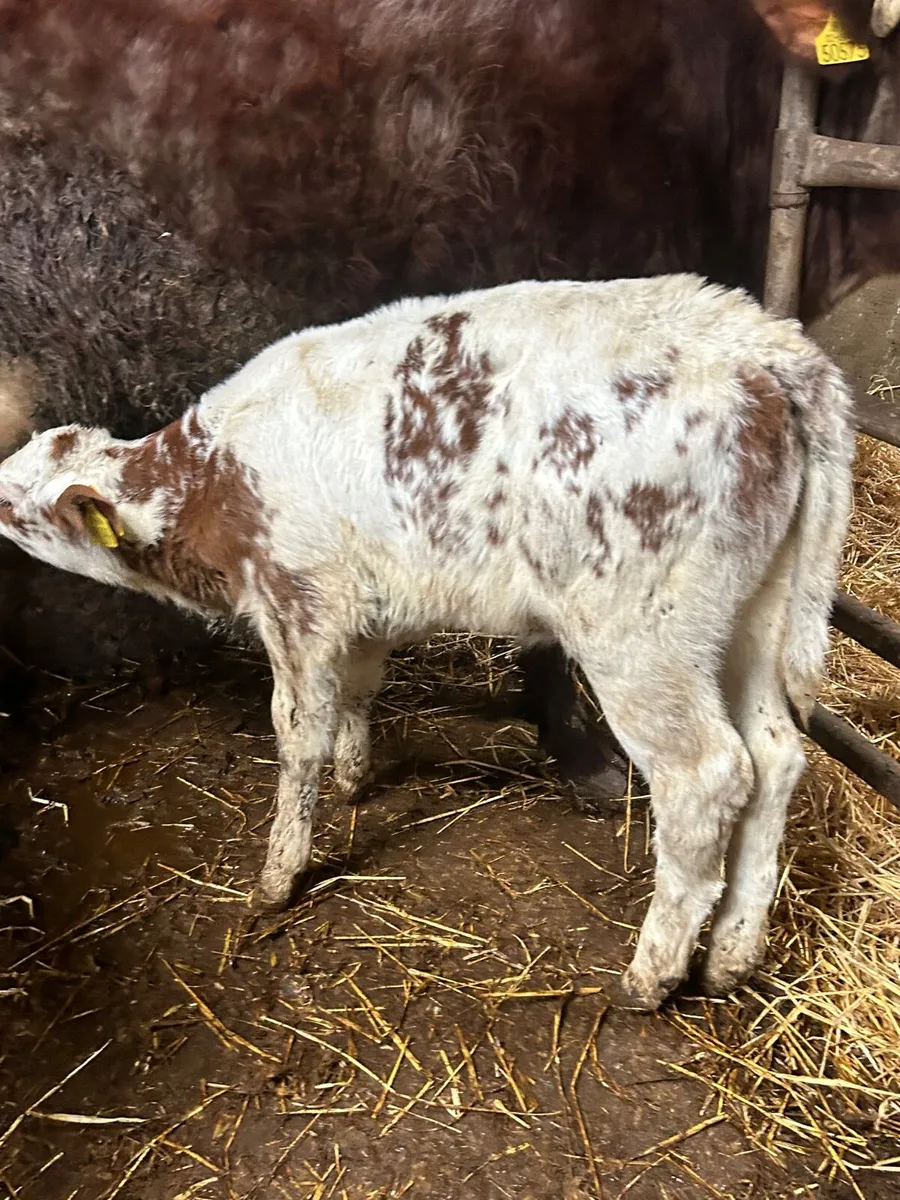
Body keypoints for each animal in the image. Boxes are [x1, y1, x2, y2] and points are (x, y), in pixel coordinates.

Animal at [0, 276, 855, 1008]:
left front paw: (278, 877)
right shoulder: (362, 608)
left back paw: (651, 977)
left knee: (707, 777)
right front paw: (356, 778)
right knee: (776, 756)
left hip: (641, 638)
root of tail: (757, 339)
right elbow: (359, 693)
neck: (215, 482)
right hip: (753, 614)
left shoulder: (297, 604)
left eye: (10, 503)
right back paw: (732, 957)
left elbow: (296, 737)